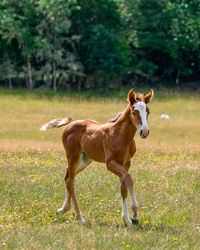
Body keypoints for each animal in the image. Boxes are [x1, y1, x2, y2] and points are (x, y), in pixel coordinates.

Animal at [40, 89, 153, 226]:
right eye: (133, 112)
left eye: (148, 112)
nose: (144, 132)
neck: (121, 136)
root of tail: (71, 122)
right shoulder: (110, 163)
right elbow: (129, 179)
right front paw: (134, 217)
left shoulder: (126, 163)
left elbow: (123, 187)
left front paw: (127, 218)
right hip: (73, 156)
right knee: (70, 181)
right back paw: (80, 217)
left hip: (85, 160)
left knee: (68, 177)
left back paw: (63, 209)